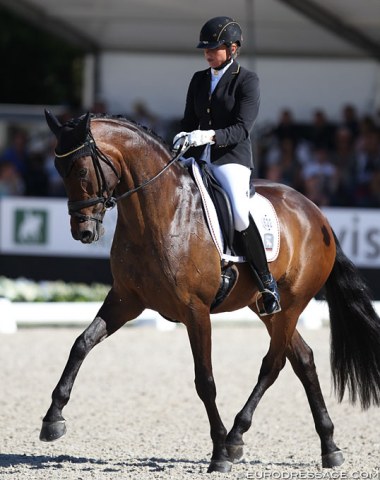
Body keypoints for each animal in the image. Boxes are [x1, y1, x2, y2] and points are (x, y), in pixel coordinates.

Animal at [40, 111, 380, 472]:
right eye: (58, 169)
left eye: (81, 170)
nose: (83, 232)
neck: (160, 211)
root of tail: (318, 215)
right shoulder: (125, 299)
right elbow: (81, 343)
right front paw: (53, 419)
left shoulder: (196, 311)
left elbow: (205, 381)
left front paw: (218, 454)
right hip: (266, 308)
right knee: (303, 359)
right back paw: (328, 446)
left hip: (292, 305)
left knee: (273, 365)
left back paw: (234, 438)